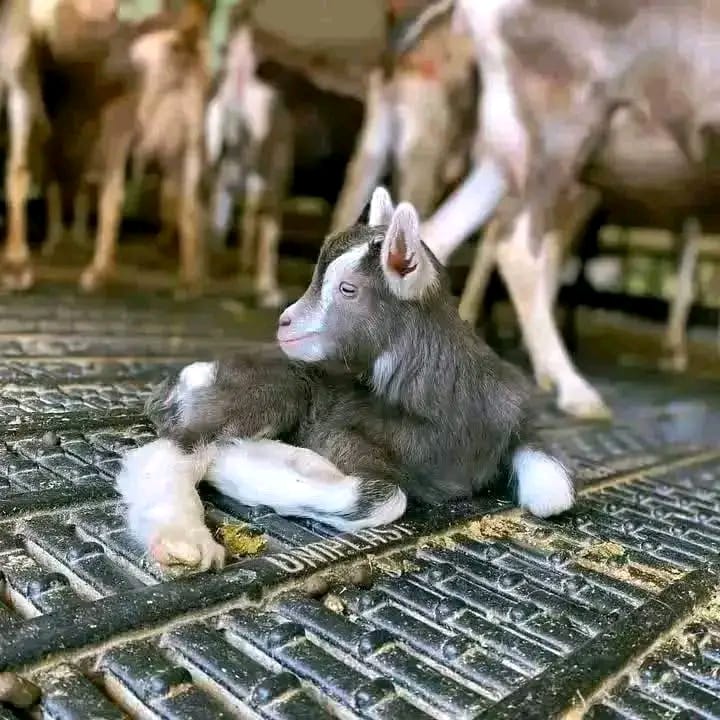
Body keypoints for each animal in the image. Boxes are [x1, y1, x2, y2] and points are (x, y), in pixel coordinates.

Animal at [116, 187, 574, 570]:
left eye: (348, 289)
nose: (284, 322)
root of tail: (181, 380)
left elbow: (555, 493)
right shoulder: (341, 435)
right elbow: (387, 498)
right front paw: (241, 465)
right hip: (264, 392)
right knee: (171, 451)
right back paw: (183, 540)